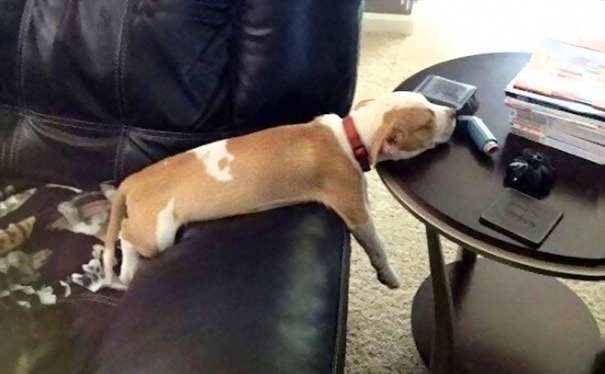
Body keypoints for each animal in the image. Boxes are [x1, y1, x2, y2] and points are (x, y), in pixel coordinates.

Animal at [104, 90, 456, 290]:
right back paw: (128, 265)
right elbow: (377, 246)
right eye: (427, 122)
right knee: (124, 232)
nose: (454, 112)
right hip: (158, 231)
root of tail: (134, 180)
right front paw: (389, 275)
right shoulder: (355, 210)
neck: (349, 135)